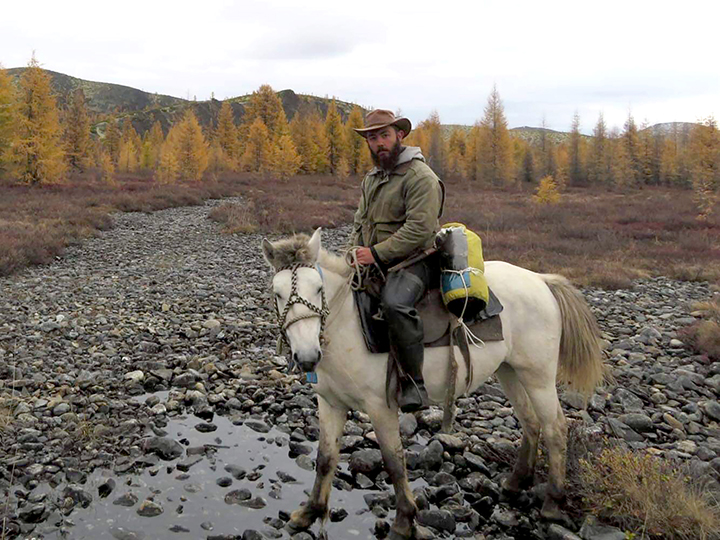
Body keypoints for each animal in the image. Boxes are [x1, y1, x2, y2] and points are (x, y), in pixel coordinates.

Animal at [262, 229, 604, 540]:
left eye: (318, 288)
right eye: (277, 293)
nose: (307, 357)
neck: (348, 323)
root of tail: (541, 281)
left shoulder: (380, 406)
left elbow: (394, 461)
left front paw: (404, 521)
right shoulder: (330, 403)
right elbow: (324, 459)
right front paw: (309, 512)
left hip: (538, 376)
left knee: (555, 428)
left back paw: (552, 502)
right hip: (510, 371)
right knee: (531, 422)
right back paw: (514, 483)